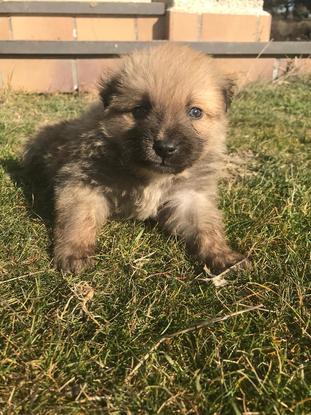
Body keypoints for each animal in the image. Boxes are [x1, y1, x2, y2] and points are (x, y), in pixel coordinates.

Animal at [22, 44, 246, 274]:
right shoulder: (83, 184)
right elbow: (78, 219)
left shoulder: (190, 197)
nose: (164, 148)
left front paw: (223, 255)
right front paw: (74, 253)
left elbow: (206, 227)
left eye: (195, 112)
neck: (151, 175)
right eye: (140, 109)